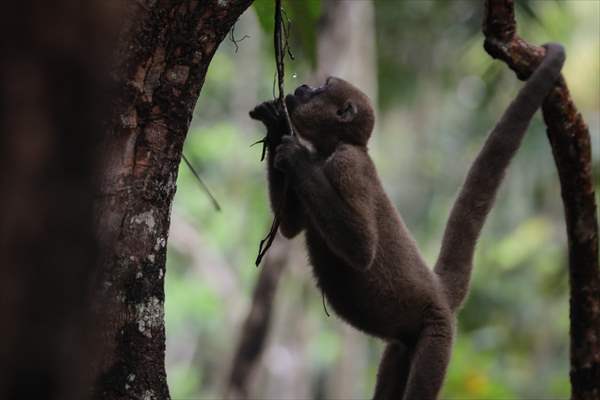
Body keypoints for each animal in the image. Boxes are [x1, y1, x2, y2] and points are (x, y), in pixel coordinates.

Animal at [247, 42, 564, 398]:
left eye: (323, 87)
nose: (302, 87)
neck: (334, 148)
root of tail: (440, 293)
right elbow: (289, 227)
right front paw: (275, 126)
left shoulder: (349, 165)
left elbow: (360, 248)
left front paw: (296, 155)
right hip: (403, 346)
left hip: (437, 336)